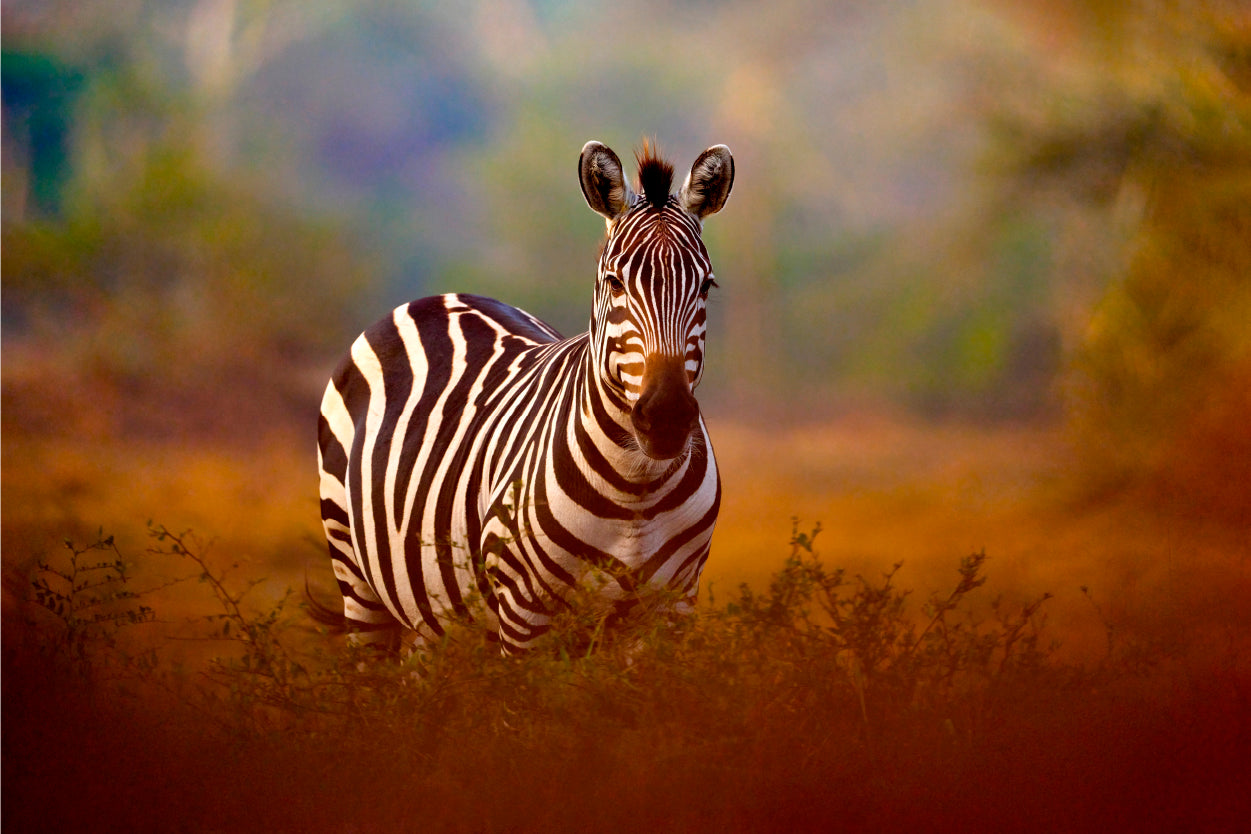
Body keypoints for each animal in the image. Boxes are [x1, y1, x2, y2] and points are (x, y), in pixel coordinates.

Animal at [316, 140, 735, 653]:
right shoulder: (522, 613)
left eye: (706, 286)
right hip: (355, 574)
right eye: (614, 282)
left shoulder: (671, 609)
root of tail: (437, 297)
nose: (667, 417)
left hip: (433, 621)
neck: (636, 488)